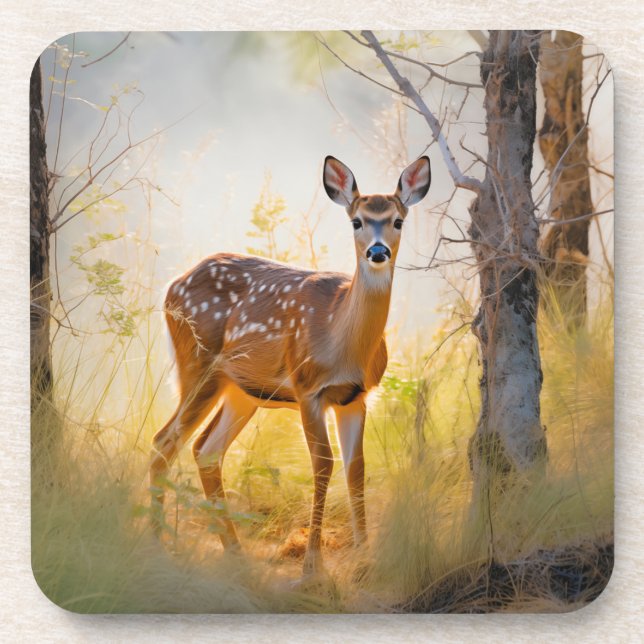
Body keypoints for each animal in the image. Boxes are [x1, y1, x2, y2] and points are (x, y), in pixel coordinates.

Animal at [150, 155, 431, 577]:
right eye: (357, 221)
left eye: (398, 220)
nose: (378, 252)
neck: (341, 340)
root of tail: (171, 286)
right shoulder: (307, 387)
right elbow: (323, 465)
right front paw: (312, 566)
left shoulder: (357, 397)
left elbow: (357, 468)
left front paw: (365, 558)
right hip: (197, 365)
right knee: (164, 442)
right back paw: (156, 544)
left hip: (242, 390)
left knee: (206, 449)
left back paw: (235, 554)